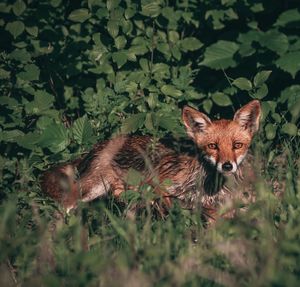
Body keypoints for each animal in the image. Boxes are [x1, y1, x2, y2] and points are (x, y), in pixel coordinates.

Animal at [41, 100, 262, 219]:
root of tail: (98, 145)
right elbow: (169, 204)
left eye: (237, 145)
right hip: (90, 189)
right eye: (213, 146)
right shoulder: (156, 184)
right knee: (62, 208)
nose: (227, 165)